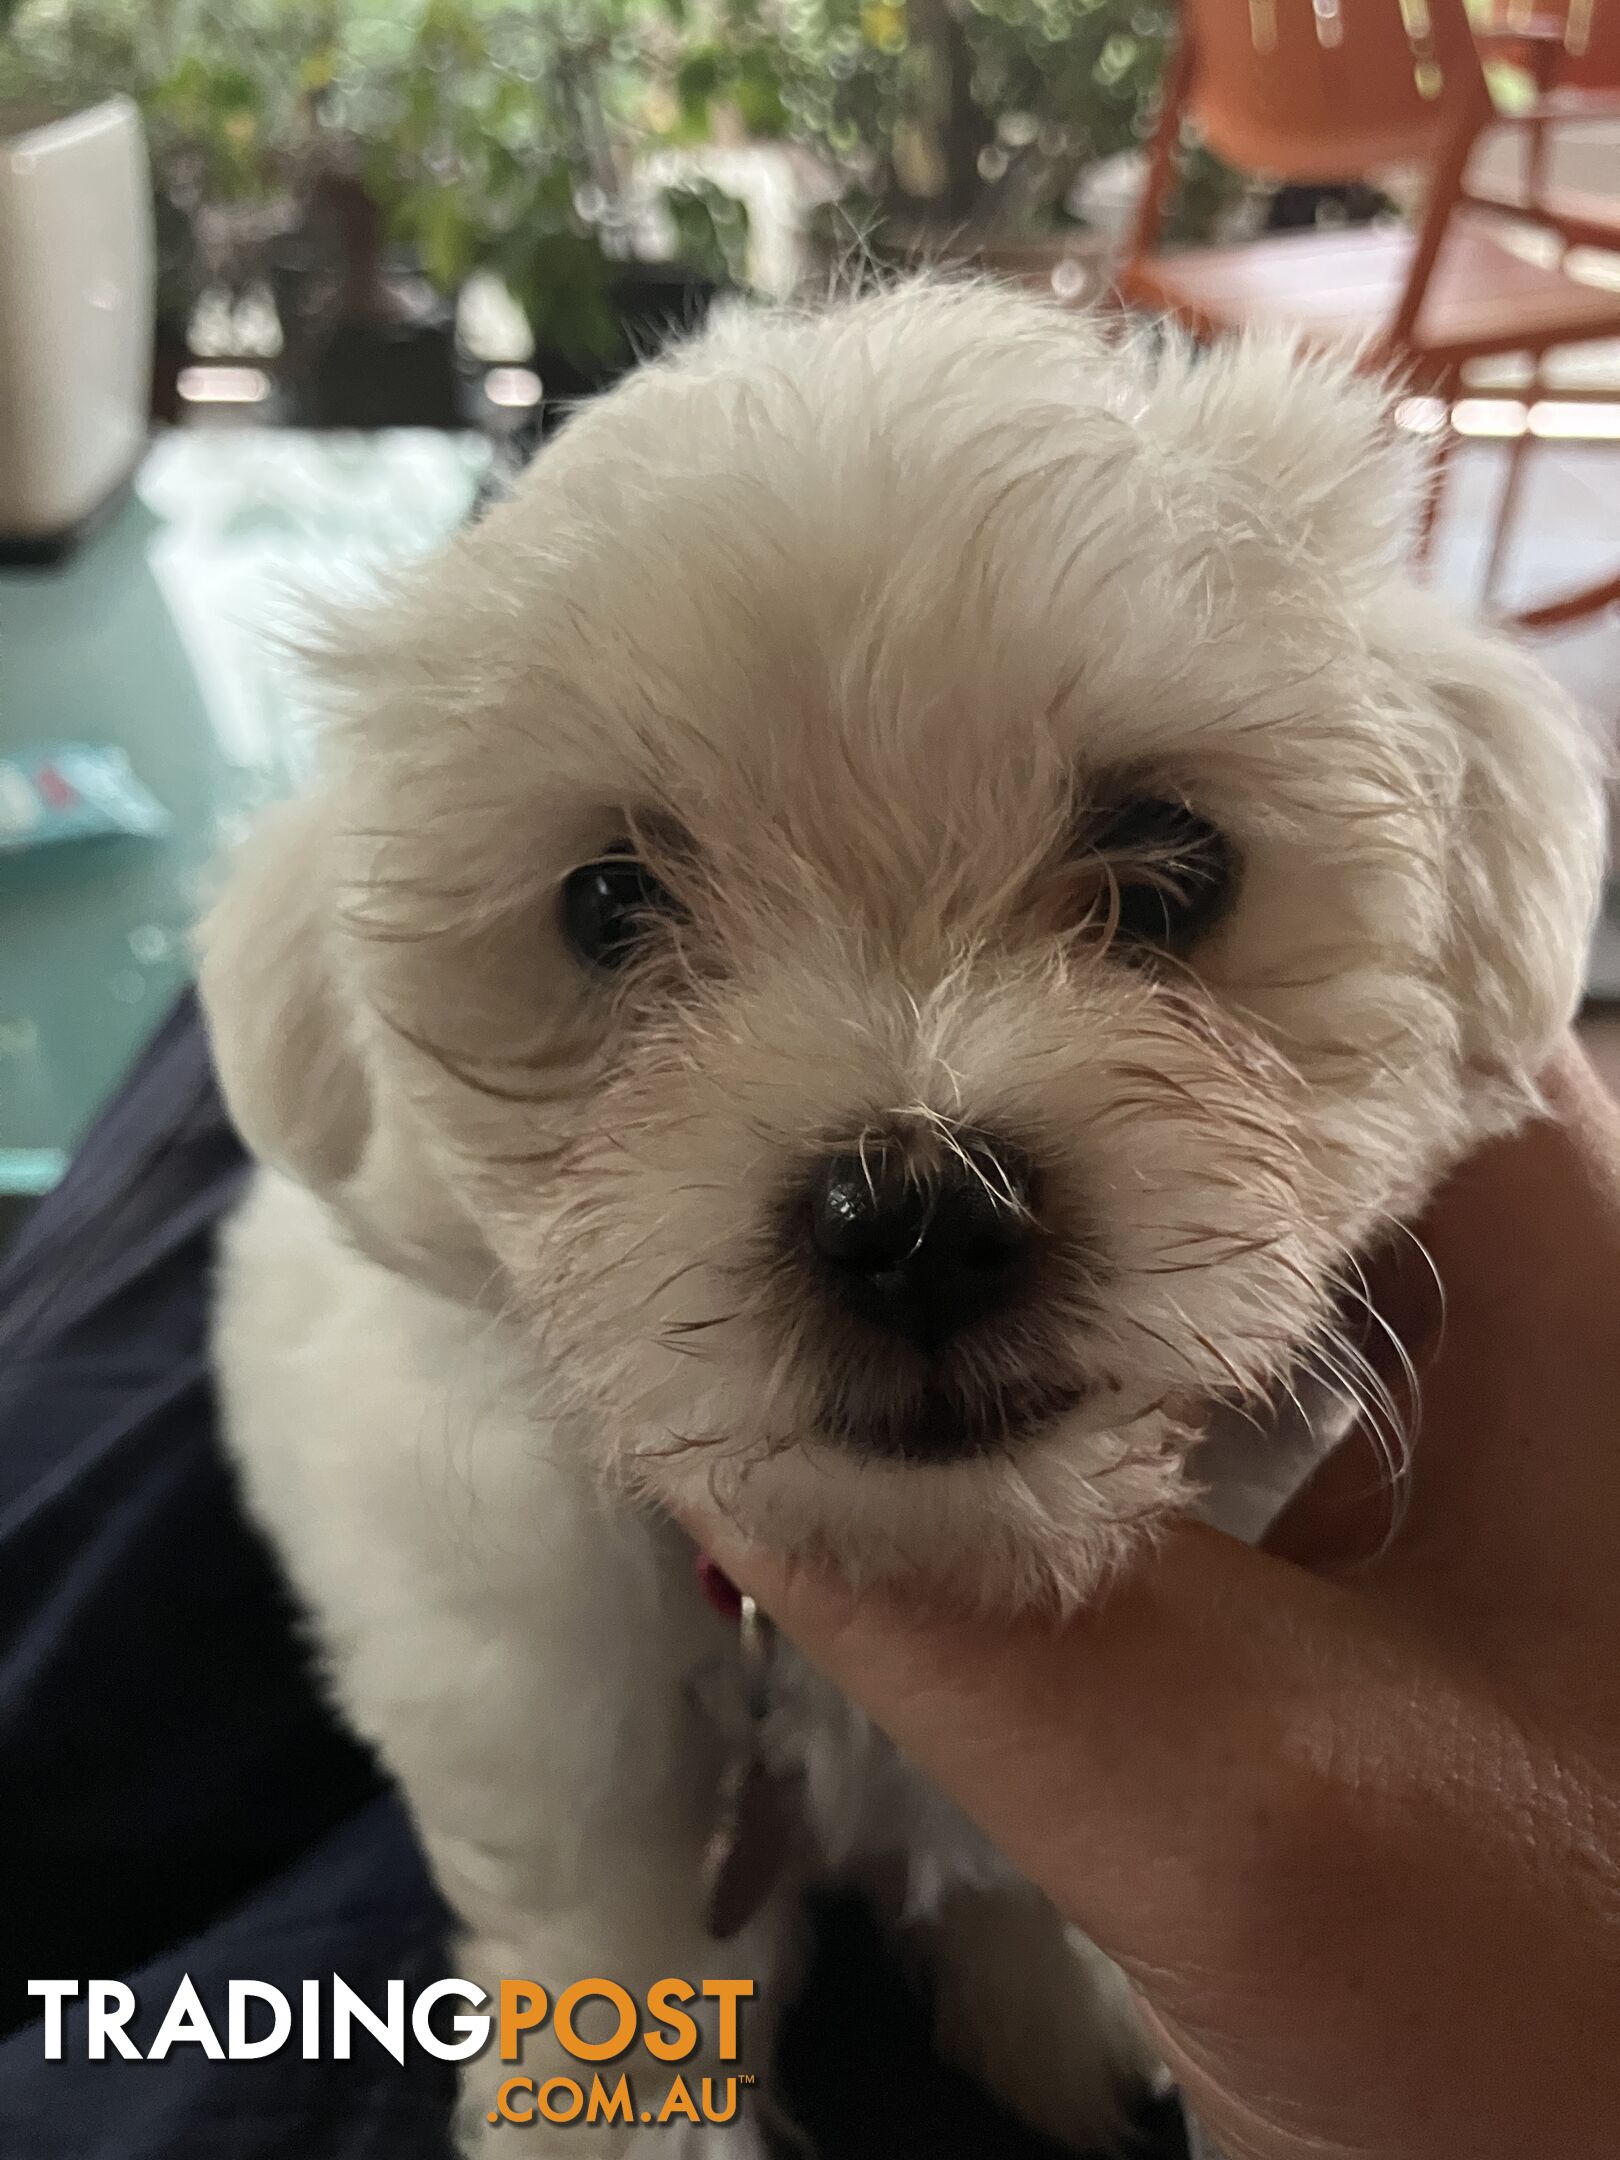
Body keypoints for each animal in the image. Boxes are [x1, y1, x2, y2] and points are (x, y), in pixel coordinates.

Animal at [196, 287, 1607, 2160]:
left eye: (1173, 863)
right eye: (606, 905)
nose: (921, 1220)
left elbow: (1002, 1879)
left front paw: (1046, 2015)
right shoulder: (525, 1698)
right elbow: (610, 1923)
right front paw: (622, 2112)